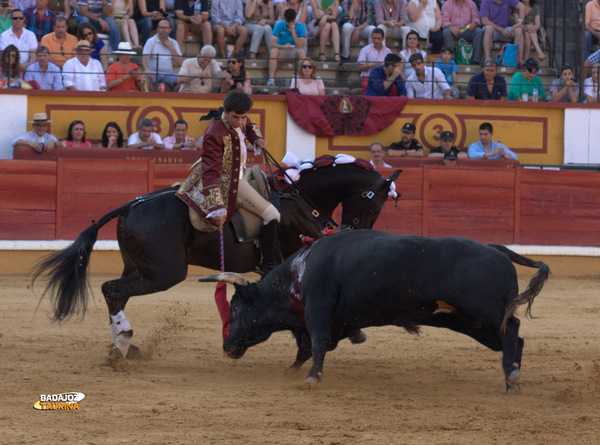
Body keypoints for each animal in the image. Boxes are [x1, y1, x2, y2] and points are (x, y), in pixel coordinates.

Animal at [31, 161, 398, 356]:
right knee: (112, 290)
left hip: (138, 266)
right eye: (375, 206)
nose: (354, 229)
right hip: (164, 273)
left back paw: (121, 348)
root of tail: (132, 205)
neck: (301, 199)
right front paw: (353, 332)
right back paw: (124, 342)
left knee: (116, 293)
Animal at [200, 229, 548, 392]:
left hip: (485, 315)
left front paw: (311, 378)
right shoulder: (330, 322)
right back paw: (512, 381)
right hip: (470, 322)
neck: (300, 271)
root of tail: (496, 250)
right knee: (515, 340)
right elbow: (307, 348)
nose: (227, 346)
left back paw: (511, 376)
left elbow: (315, 343)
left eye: (236, 307)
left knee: (512, 330)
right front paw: (293, 372)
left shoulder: (318, 308)